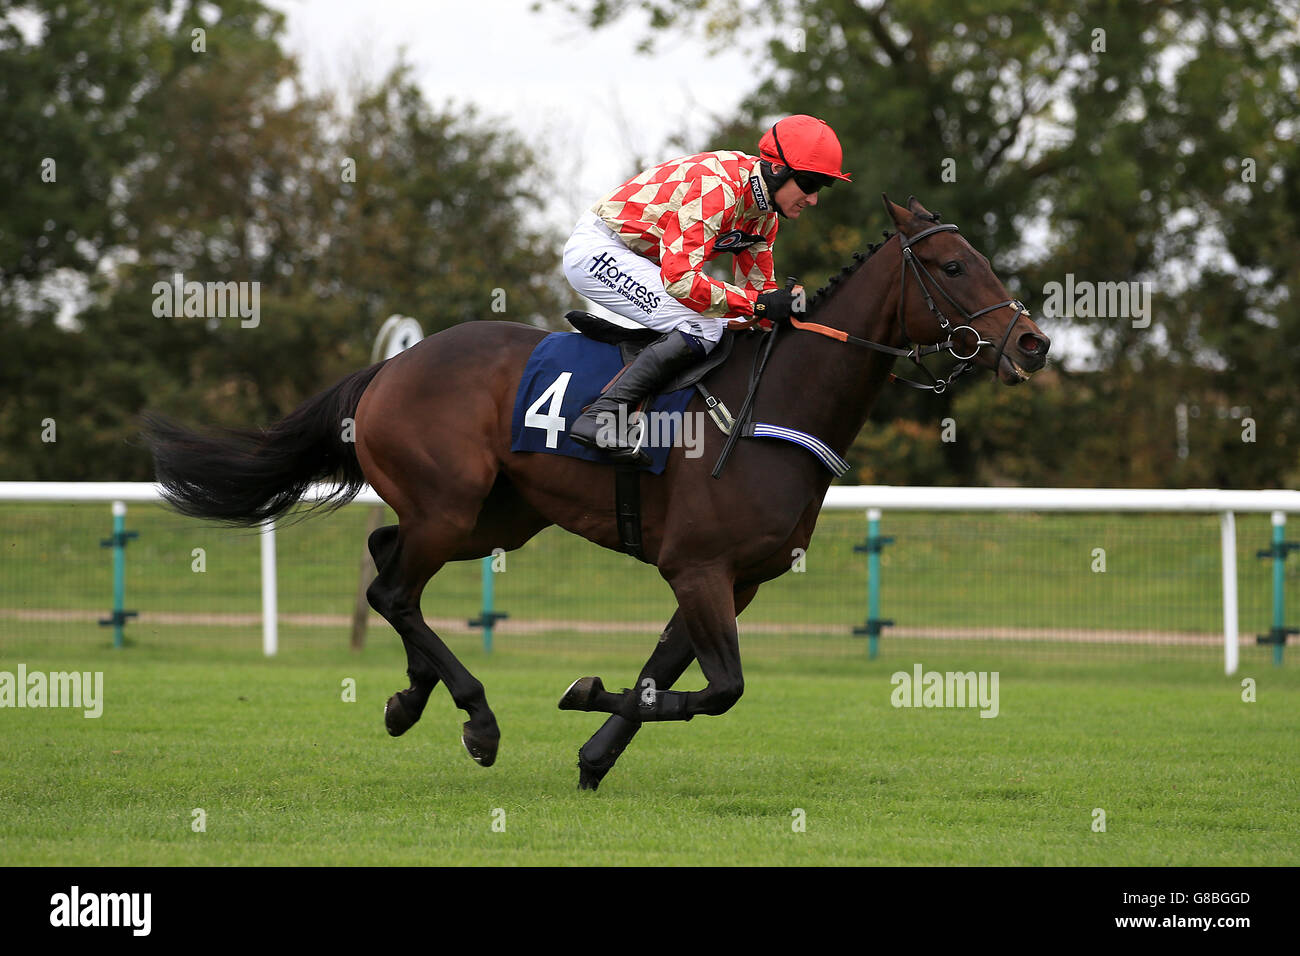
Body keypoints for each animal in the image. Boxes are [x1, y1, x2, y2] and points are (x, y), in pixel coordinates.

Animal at [144, 196, 1045, 790]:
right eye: (954, 265)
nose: (1032, 342)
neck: (774, 406)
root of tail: (393, 365)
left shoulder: (735, 579)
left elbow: (670, 673)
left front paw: (592, 756)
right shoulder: (698, 565)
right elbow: (721, 689)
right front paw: (581, 699)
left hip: (493, 518)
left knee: (384, 561)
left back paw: (409, 697)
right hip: (451, 504)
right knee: (396, 588)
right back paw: (475, 717)